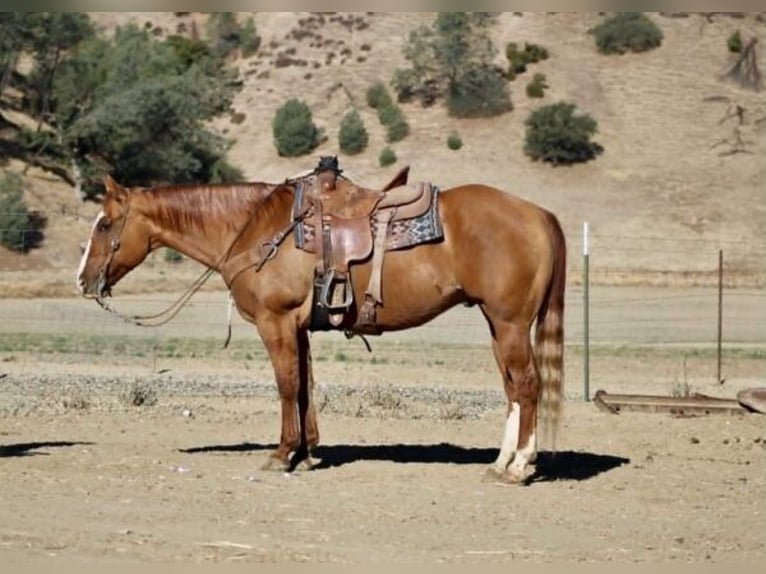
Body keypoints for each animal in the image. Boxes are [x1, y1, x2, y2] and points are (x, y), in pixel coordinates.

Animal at [76, 172, 566, 484]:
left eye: (104, 224)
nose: (83, 280)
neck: (256, 229)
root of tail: (539, 214)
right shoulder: (299, 327)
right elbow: (306, 386)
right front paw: (308, 453)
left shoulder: (276, 322)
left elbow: (287, 385)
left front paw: (281, 455)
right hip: (497, 324)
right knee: (512, 388)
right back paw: (500, 463)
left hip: (510, 323)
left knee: (526, 384)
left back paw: (519, 466)